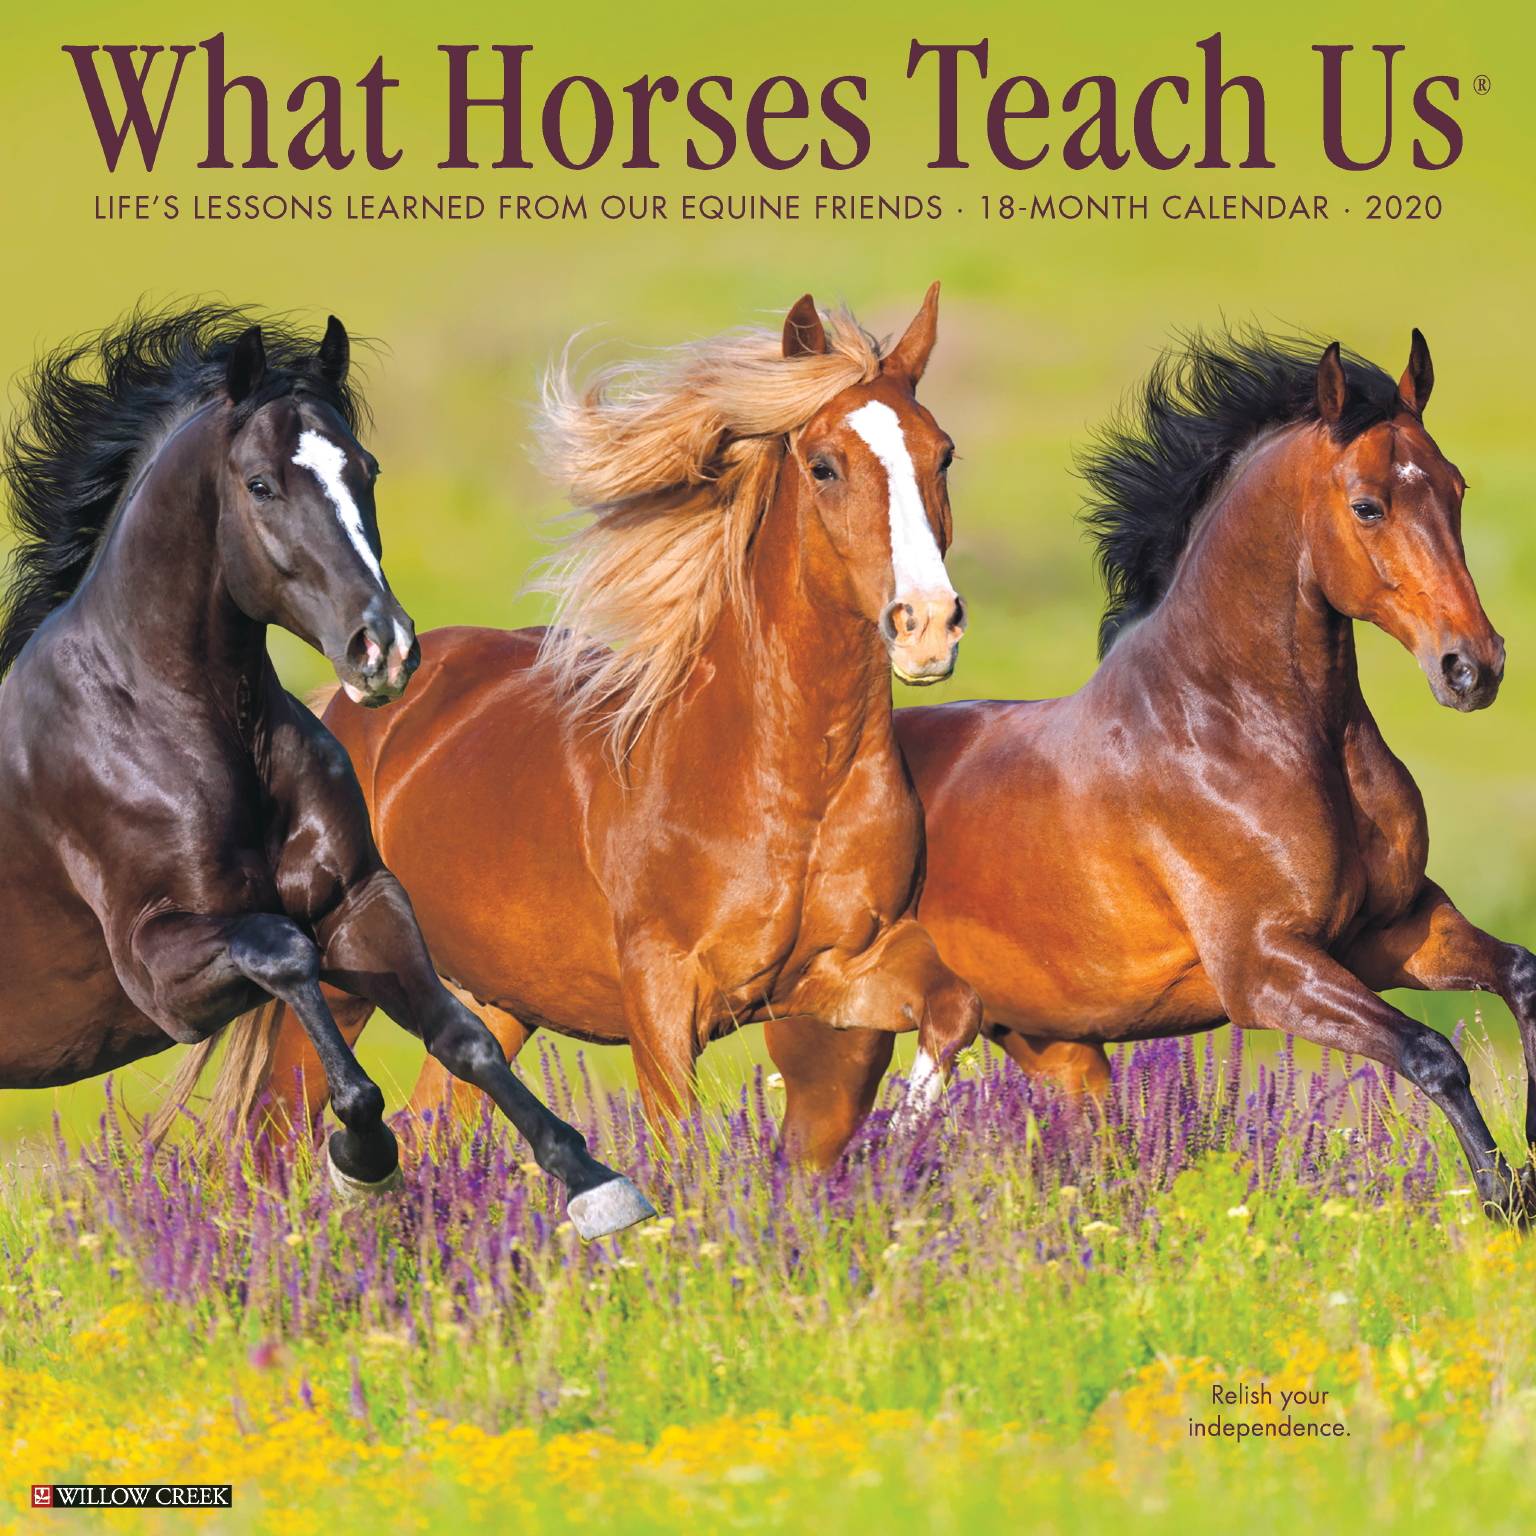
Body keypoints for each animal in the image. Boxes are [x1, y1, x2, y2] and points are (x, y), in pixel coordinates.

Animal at [0, 305, 652, 1239]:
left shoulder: (359, 900)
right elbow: (284, 954)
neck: (169, 724)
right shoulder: (160, 971)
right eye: (260, 485)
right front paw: (363, 1156)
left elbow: (462, 1035)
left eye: (365, 469)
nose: (384, 648)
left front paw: (593, 1180)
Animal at [208, 287, 983, 1161]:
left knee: (435, 1121)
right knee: (275, 1136)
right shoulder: (663, 998)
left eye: (942, 454)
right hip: (343, 986)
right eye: (824, 466)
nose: (927, 625)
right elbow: (678, 1146)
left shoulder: (841, 969)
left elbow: (953, 1009)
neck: (787, 779)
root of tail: (340, 709)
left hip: (495, 1001)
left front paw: (898, 1147)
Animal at [761, 327, 1534, 1218]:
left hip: (1058, 1051)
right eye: (1368, 505)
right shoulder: (1266, 969)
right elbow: (1432, 1051)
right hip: (838, 1044)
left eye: (1456, 488)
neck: (1241, 727)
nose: (1472, 667)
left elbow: (1521, 973)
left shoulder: (1394, 930)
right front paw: (1505, 1194)